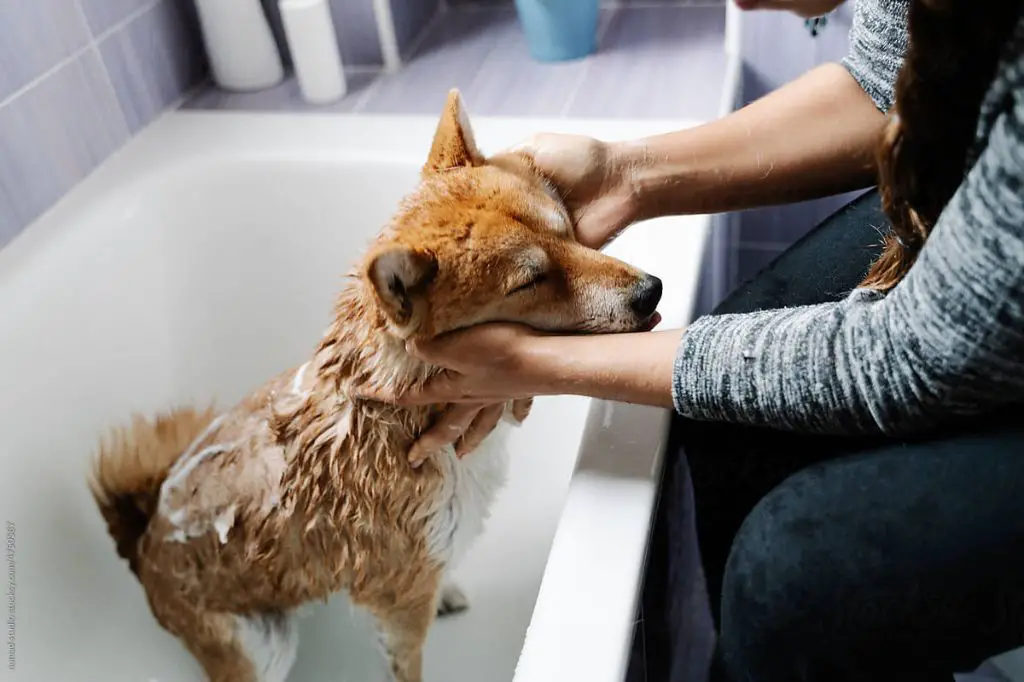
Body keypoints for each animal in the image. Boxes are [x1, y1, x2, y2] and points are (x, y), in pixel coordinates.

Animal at [88, 90, 663, 679]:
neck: (404, 419)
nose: (652, 290)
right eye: (531, 279)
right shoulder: (401, 603)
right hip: (261, 648)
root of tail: (142, 542)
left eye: (565, 228)